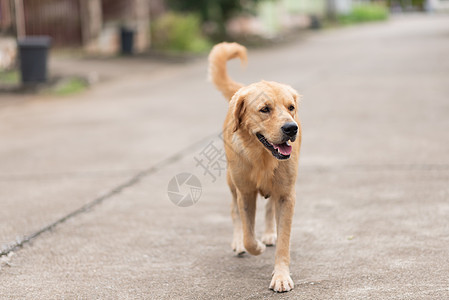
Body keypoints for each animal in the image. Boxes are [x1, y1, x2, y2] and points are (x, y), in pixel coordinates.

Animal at [207, 42, 300, 292]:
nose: (291, 128)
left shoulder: (286, 195)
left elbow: (284, 240)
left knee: (269, 210)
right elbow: (249, 234)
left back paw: (268, 234)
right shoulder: (245, 192)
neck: (262, 158)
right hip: (231, 182)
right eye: (265, 109)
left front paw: (281, 276)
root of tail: (242, 89)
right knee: (234, 212)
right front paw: (254, 245)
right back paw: (239, 242)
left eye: (291, 107)